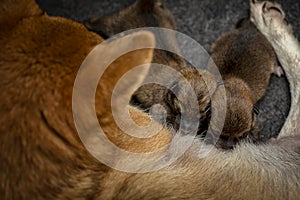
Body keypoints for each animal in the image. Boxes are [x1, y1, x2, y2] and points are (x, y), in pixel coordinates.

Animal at [209, 18, 282, 147]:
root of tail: (248, 28)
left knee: (273, 63)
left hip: (269, 51)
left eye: (242, 135)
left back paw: (277, 69)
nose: (230, 146)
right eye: (220, 135)